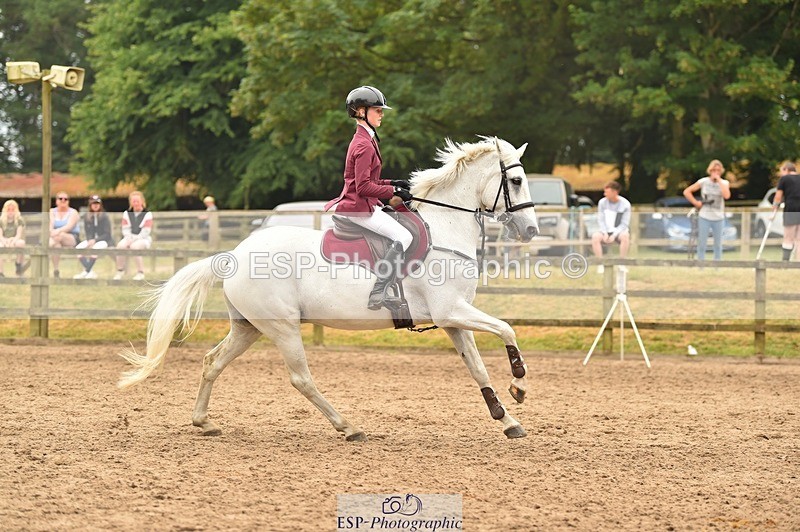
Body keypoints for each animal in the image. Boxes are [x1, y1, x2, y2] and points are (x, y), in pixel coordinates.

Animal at [118, 137, 539, 440]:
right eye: (516, 181)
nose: (531, 230)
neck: (445, 228)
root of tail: (234, 256)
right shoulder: (451, 311)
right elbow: (507, 329)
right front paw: (518, 385)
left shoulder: (453, 320)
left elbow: (478, 369)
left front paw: (506, 419)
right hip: (283, 327)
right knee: (301, 378)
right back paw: (348, 427)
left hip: (249, 327)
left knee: (212, 362)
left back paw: (203, 422)